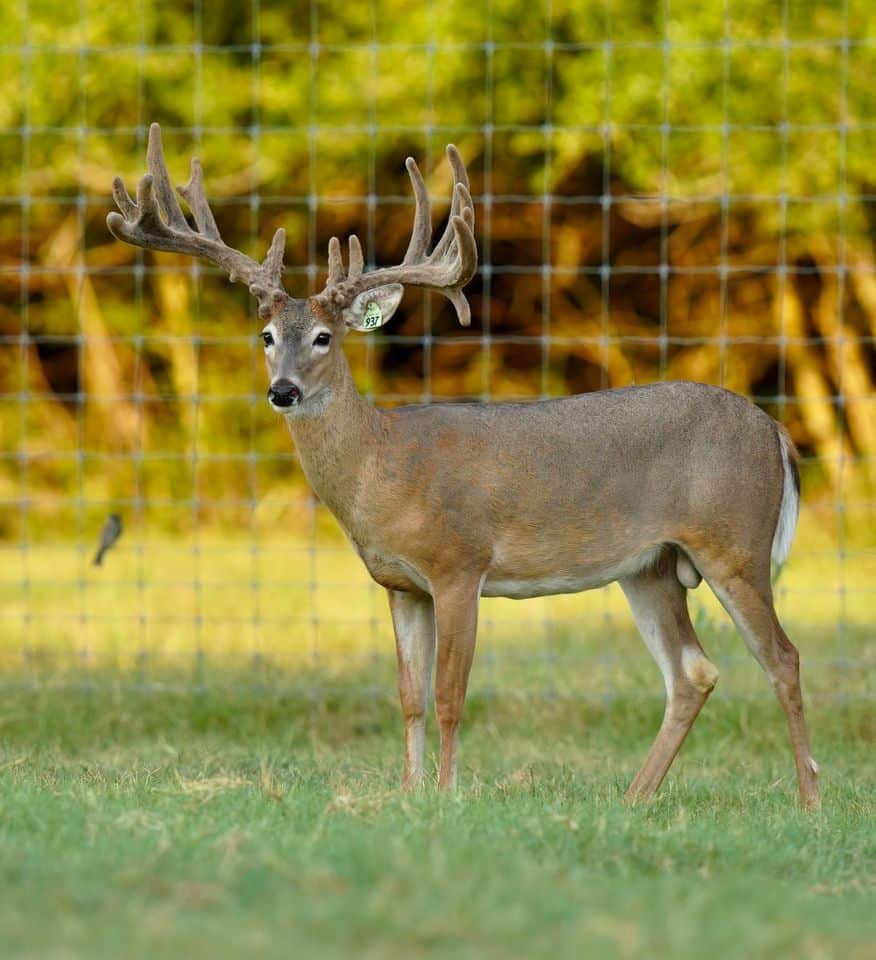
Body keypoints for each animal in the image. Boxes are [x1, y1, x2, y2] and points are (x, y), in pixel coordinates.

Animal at [107, 123, 820, 808]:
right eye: (267, 336)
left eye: (324, 337)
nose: (282, 391)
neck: (383, 466)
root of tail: (775, 430)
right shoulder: (400, 584)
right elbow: (410, 697)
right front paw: (407, 792)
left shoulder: (459, 564)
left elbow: (450, 695)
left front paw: (447, 795)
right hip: (650, 566)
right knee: (692, 672)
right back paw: (634, 798)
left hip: (733, 542)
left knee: (783, 657)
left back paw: (809, 800)